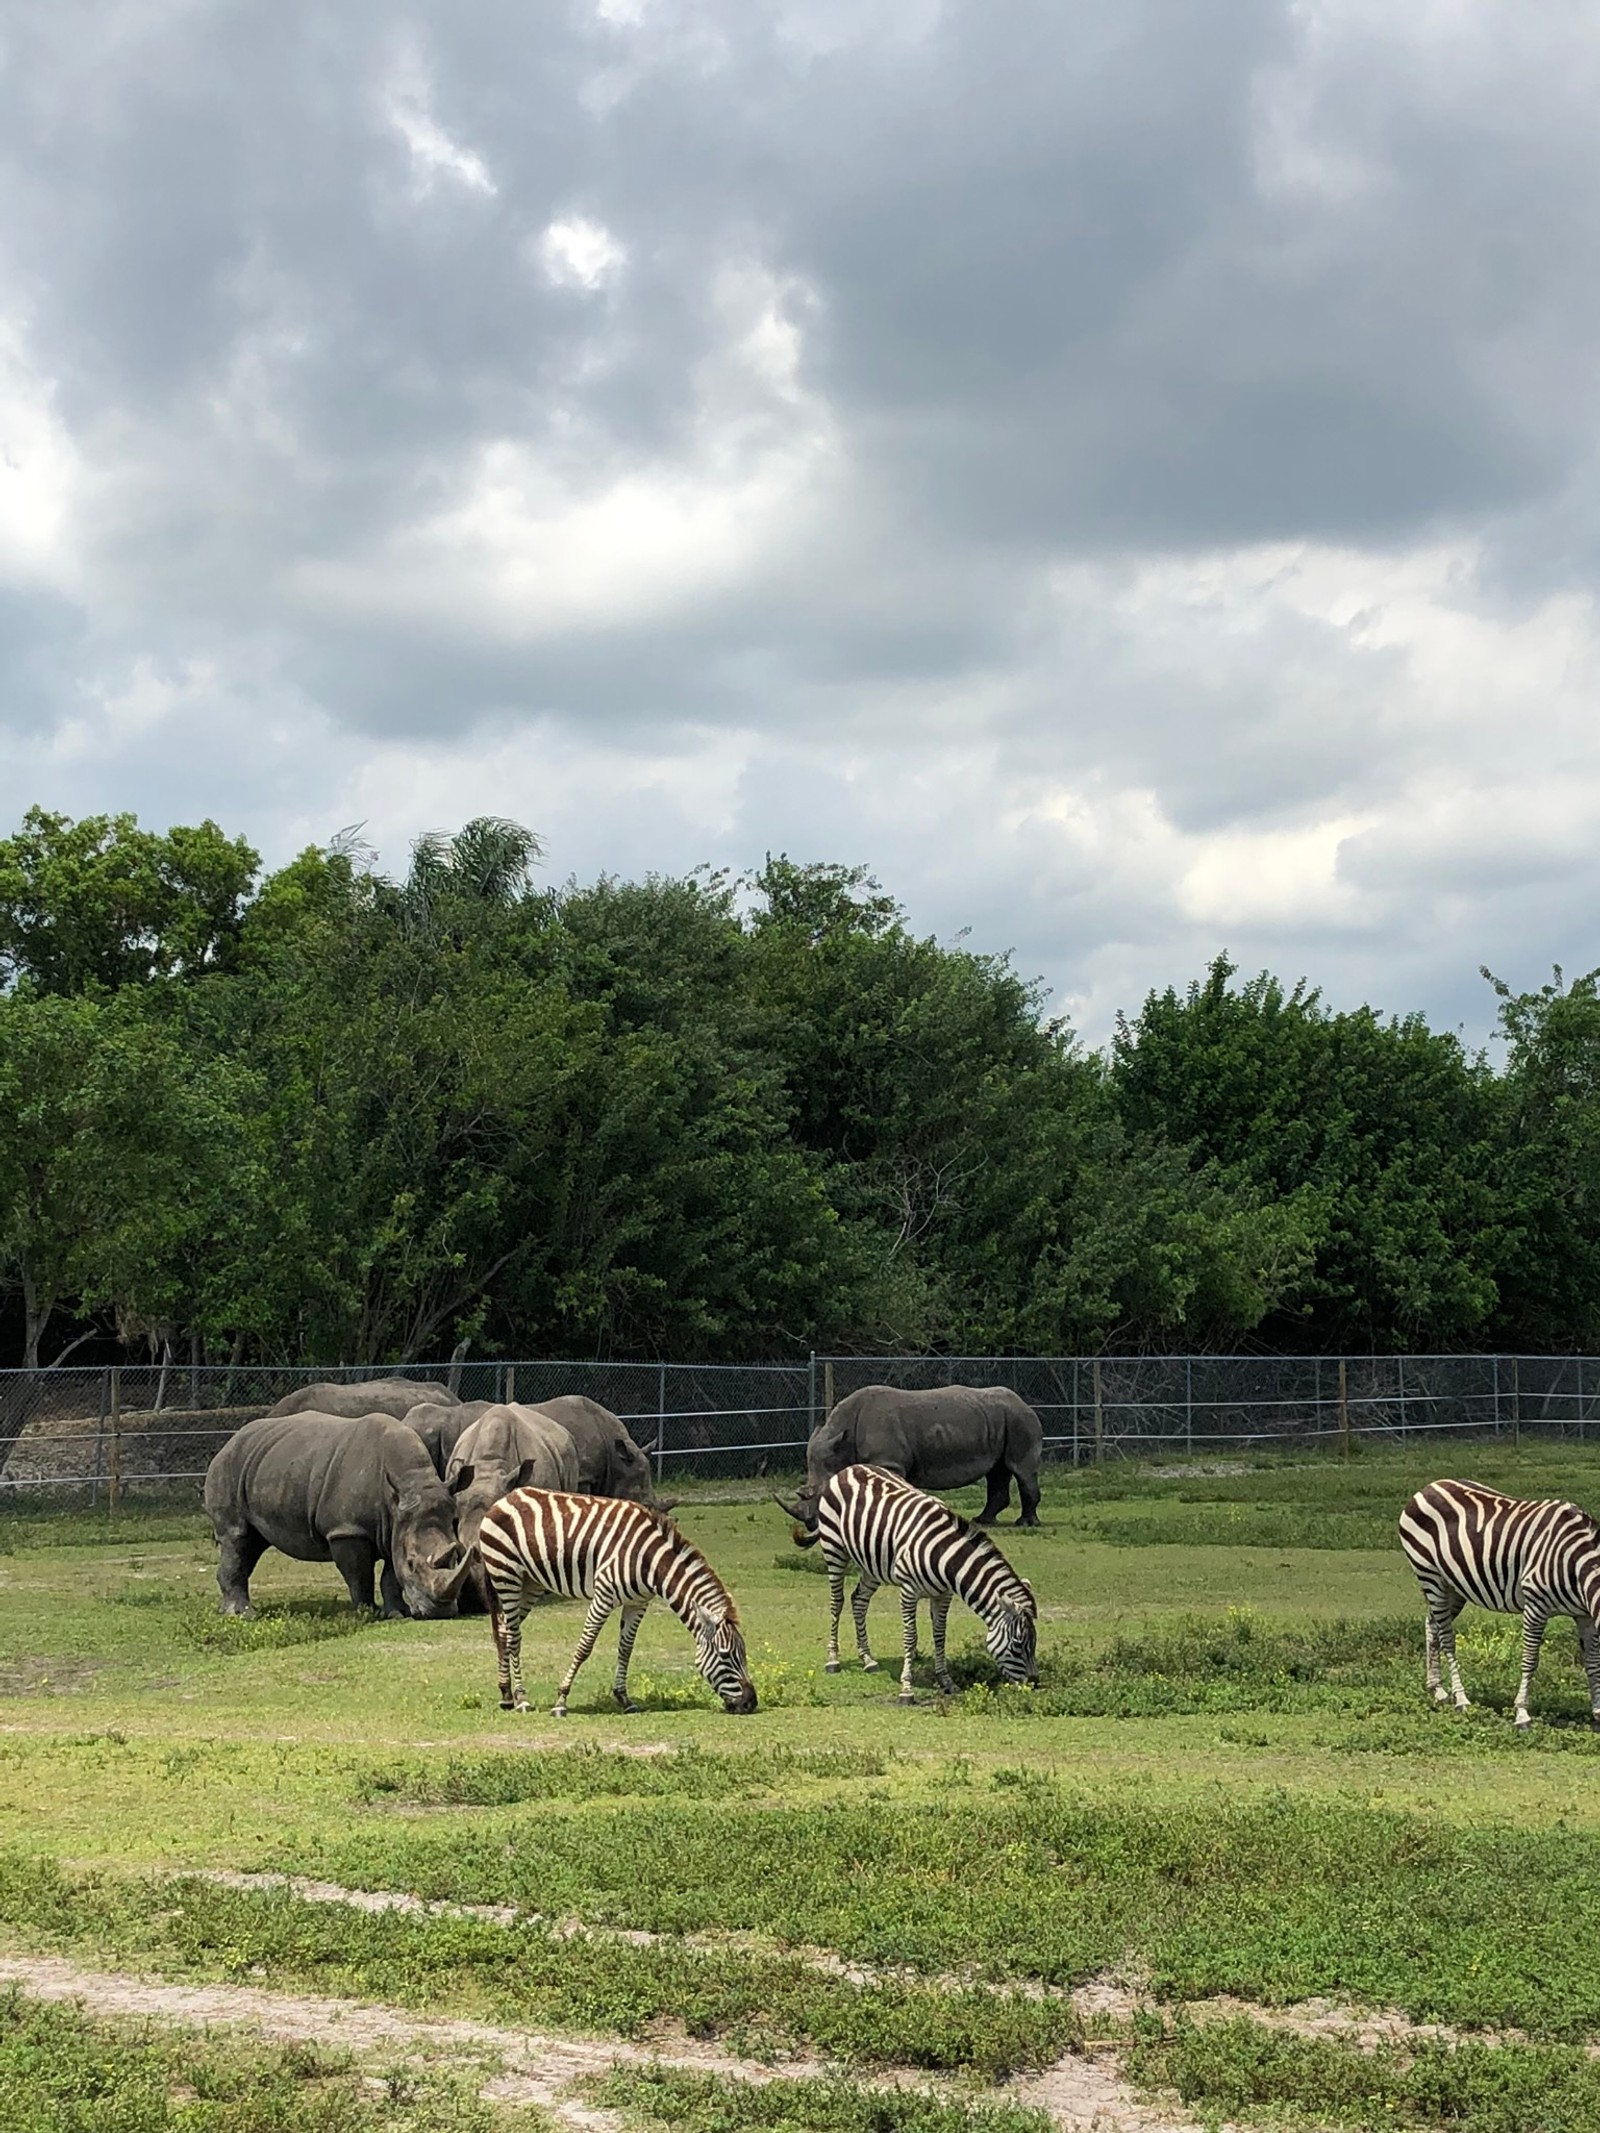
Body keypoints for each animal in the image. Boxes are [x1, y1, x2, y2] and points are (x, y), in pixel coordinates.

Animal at [475, 1501, 759, 1714]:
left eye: (743, 1653)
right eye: (725, 1655)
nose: (750, 1703)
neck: (651, 1562)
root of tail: (505, 1498)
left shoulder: (638, 1602)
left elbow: (626, 1649)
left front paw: (624, 1699)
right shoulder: (604, 1594)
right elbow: (585, 1646)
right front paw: (561, 1700)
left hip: (530, 1583)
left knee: (503, 1631)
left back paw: (506, 1695)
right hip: (506, 1575)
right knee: (513, 1636)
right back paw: (522, 1698)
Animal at [789, 1467, 1041, 1697]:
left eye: (1034, 1642)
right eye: (1017, 1644)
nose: (1034, 1684)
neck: (944, 1557)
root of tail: (848, 1469)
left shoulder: (943, 1594)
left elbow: (940, 1636)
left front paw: (946, 1681)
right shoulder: (908, 1591)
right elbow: (910, 1638)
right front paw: (907, 1688)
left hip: (872, 1564)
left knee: (858, 1600)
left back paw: (868, 1659)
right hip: (834, 1548)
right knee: (837, 1601)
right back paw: (833, 1660)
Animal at [1399, 1484, 1600, 1731]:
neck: (1577, 1561)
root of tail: (1428, 1487)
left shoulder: (1584, 1615)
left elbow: (1593, 1662)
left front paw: (1598, 1711)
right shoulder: (1535, 1606)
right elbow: (1530, 1660)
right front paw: (1522, 1714)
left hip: (1453, 1587)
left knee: (1431, 1625)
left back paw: (1437, 1690)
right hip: (1430, 1575)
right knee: (1447, 1638)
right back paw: (1461, 1699)